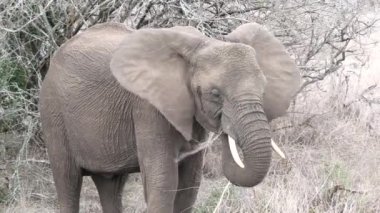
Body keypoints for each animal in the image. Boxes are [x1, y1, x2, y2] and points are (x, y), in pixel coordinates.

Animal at [38, 22, 300, 213]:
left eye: (263, 89)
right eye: (215, 94)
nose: (226, 130)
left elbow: (189, 185)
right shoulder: (148, 108)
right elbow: (163, 181)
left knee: (111, 184)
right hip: (53, 110)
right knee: (68, 181)